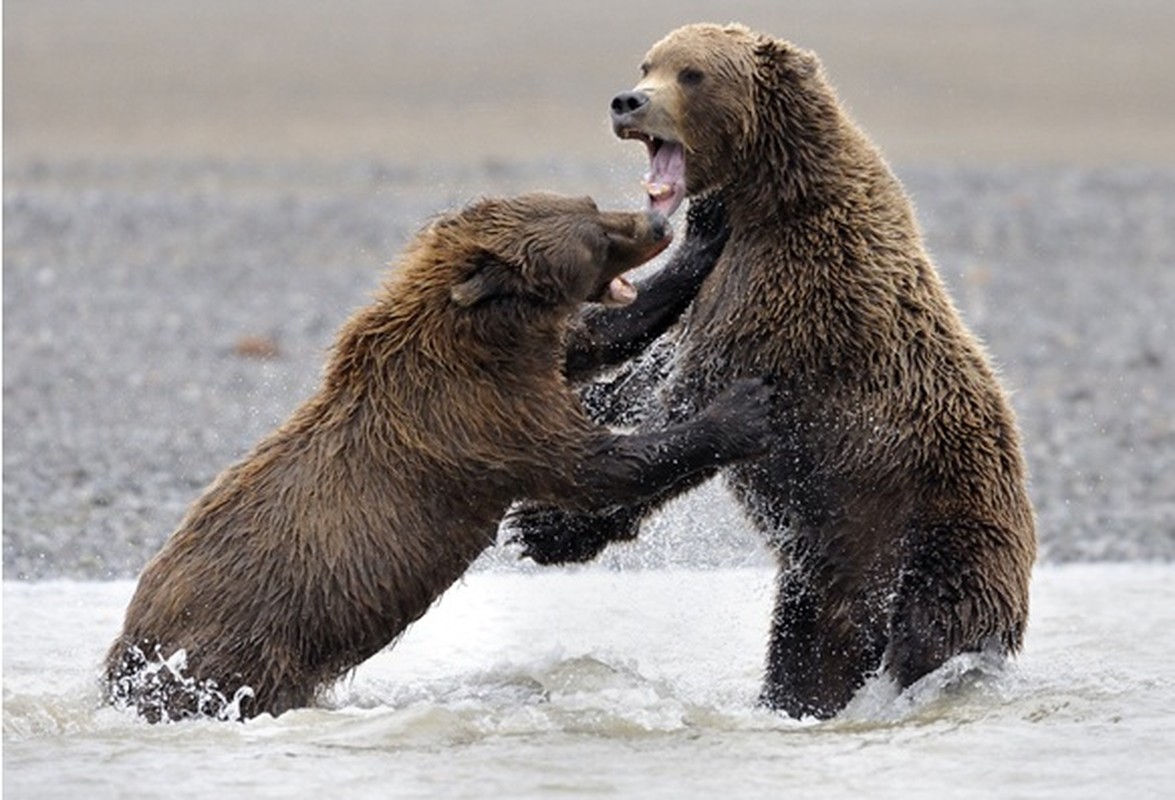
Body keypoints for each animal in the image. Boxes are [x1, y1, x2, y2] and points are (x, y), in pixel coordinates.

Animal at [105, 190, 775, 718]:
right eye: (592, 237)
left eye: (589, 204)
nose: (655, 224)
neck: (480, 336)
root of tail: (125, 661)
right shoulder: (481, 416)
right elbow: (596, 466)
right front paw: (740, 407)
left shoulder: (528, 364)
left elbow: (603, 335)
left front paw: (709, 229)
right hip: (242, 653)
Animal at [514, 24, 1038, 718]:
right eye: (648, 63)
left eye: (691, 74)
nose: (627, 102)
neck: (765, 197)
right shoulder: (727, 281)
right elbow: (656, 371)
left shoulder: (790, 296)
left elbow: (690, 399)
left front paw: (547, 527)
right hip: (821, 580)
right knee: (806, 658)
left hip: (942, 538)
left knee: (931, 636)